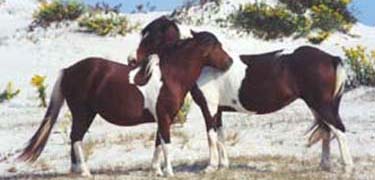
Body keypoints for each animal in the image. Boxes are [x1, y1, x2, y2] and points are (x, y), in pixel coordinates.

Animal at [18, 30, 235, 176]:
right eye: (216, 46)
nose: (230, 62)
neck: (170, 76)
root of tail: (69, 70)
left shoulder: (162, 118)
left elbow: (158, 143)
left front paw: (156, 171)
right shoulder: (164, 117)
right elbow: (166, 144)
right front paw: (169, 172)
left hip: (86, 114)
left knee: (74, 139)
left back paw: (77, 171)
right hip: (83, 113)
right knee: (76, 138)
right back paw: (86, 172)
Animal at [134, 16, 352, 172]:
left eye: (152, 36)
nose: (132, 60)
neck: (205, 64)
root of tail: (330, 58)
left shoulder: (208, 107)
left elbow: (211, 136)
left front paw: (210, 167)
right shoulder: (219, 110)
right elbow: (221, 136)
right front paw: (223, 166)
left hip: (321, 105)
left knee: (339, 130)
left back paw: (346, 168)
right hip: (316, 106)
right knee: (327, 132)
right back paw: (325, 165)